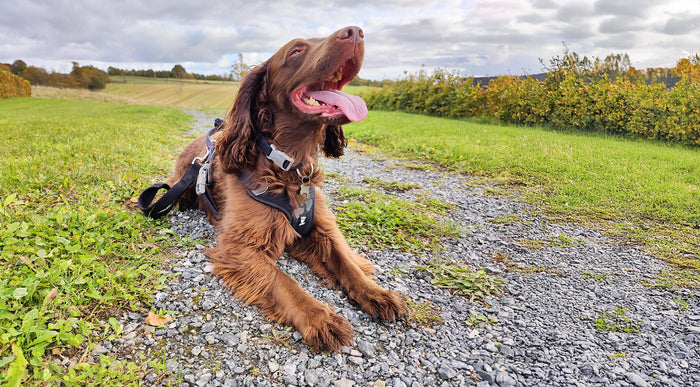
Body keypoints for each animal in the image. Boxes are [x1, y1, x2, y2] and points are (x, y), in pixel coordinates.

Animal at [167, 25, 408, 350]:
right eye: (296, 51)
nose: (356, 31)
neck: (288, 168)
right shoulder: (241, 246)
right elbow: (284, 282)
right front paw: (319, 318)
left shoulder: (320, 225)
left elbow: (346, 262)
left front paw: (376, 293)